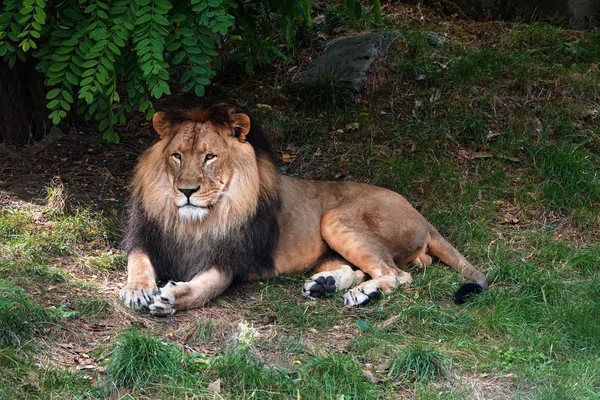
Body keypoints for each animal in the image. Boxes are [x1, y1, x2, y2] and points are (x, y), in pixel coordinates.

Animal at [120, 94, 488, 316]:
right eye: (177, 156)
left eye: (210, 157)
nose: (186, 191)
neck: (195, 222)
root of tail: (422, 218)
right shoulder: (146, 236)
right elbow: (138, 262)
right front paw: (137, 291)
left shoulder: (230, 260)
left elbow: (203, 289)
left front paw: (171, 297)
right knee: (367, 268)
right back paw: (326, 284)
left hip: (336, 218)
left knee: (397, 274)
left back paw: (360, 294)